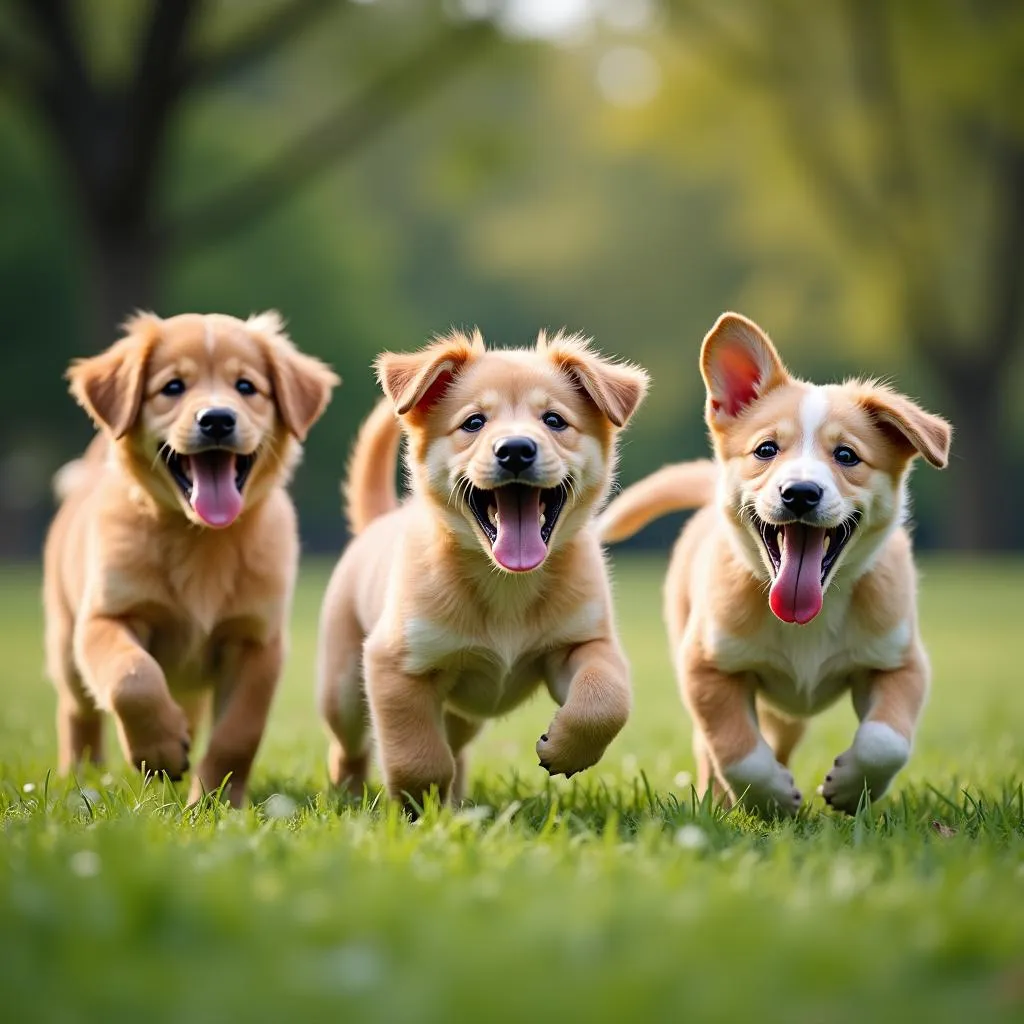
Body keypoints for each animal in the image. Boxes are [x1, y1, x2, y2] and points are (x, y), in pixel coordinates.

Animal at [44, 307, 339, 802]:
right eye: (173, 387)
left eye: (246, 386)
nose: (217, 419)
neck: (203, 539)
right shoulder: (106, 616)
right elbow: (133, 678)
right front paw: (159, 751)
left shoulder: (258, 641)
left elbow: (239, 733)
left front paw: (217, 801)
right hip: (66, 643)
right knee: (76, 710)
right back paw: (81, 774)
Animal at [598, 311, 950, 815]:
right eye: (766, 449)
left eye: (847, 455)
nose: (800, 493)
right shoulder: (707, 666)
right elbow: (738, 750)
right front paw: (771, 799)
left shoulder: (901, 661)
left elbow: (885, 742)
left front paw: (849, 787)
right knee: (713, 751)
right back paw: (718, 802)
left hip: (787, 712)